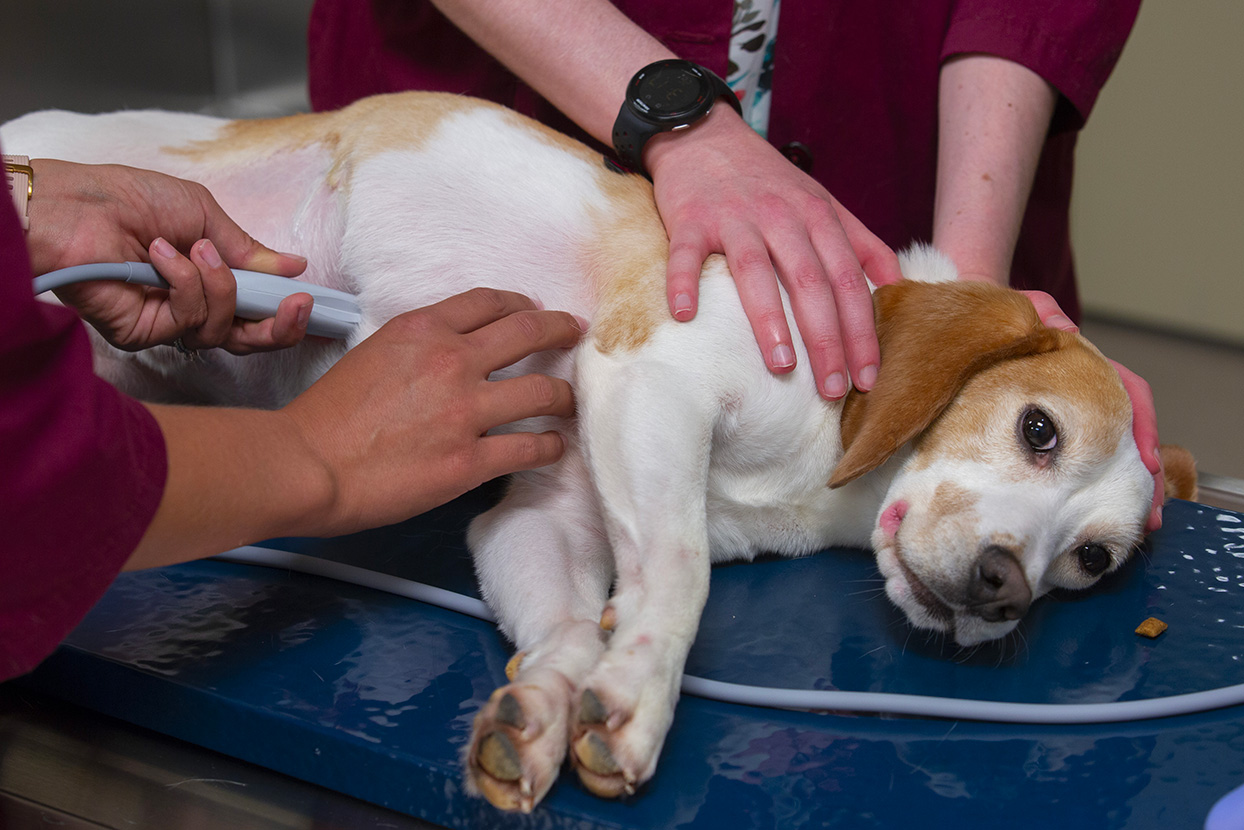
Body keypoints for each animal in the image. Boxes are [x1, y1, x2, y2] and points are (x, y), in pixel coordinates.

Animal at [4, 92, 1199, 811]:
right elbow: (678, 571)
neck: (827, 478)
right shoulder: (650, 384)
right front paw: (641, 694)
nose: (1004, 587)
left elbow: (572, 620)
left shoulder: (544, 515)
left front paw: (545, 707)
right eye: (1036, 429)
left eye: (1090, 561)